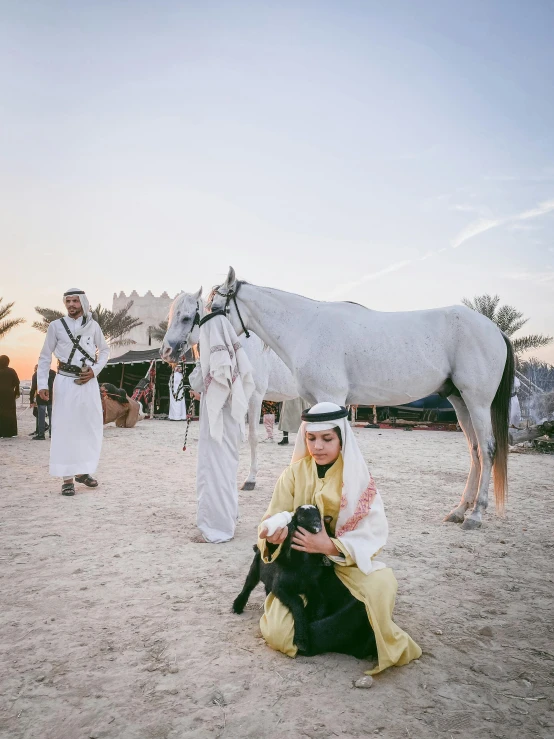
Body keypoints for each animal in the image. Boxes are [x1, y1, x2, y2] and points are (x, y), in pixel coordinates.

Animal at [207, 268, 512, 528]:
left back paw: (476, 514)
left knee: (487, 449)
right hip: (460, 402)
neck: (305, 328)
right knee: (474, 451)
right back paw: (460, 510)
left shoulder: (331, 397)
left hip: (478, 403)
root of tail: (495, 329)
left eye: (215, 308)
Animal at [231, 506, 356, 656]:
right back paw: (237, 606)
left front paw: (313, 617)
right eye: (301, 518)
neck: (301, 565)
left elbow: (321, 602)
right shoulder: (281, 587)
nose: (317, 524)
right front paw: (301, 640)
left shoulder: (313, 585)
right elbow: (297, 602)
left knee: (267, 587)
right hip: (255, 568)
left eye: (318, 516)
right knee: (248, 585)